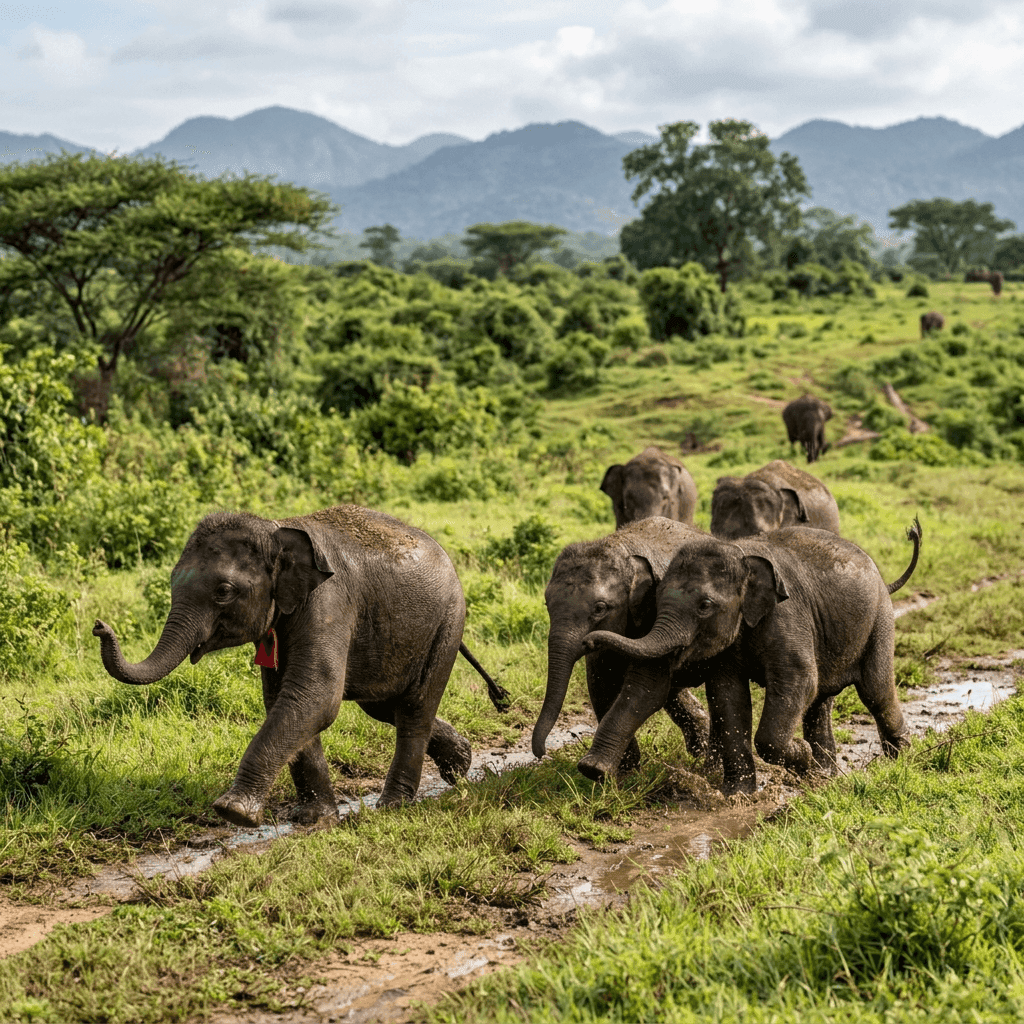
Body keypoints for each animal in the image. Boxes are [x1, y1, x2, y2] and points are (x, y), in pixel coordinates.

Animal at [93, 505, 509, 827]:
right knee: (383, 706)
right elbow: (286, 698)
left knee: (414, 708)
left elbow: (315, 697)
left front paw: (233, 812)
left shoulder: (329, 601)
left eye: (224, 592)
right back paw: (460, 766)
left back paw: (394, 806)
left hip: (448, 622)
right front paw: (313, 818)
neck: (275, 528)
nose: (99, 626)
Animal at [532, 516, 711, 772]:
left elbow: (647, 686)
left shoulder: (659, 615)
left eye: (600, 608)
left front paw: (602, 770)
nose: (542, 753)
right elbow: (601, 683)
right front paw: (626, 772)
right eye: (547, 604)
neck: (620, 547)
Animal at [579, 519, 921, 795]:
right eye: (658, 598)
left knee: (875, 690)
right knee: (821, 701)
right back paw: (825, 774)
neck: (740, 554)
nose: (588, 641)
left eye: (704, 605)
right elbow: (727, 695)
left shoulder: (788, 615)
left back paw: (900, 760)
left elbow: (797, 682)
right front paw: (738, 794)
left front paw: (800, 755)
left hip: (879, 620)